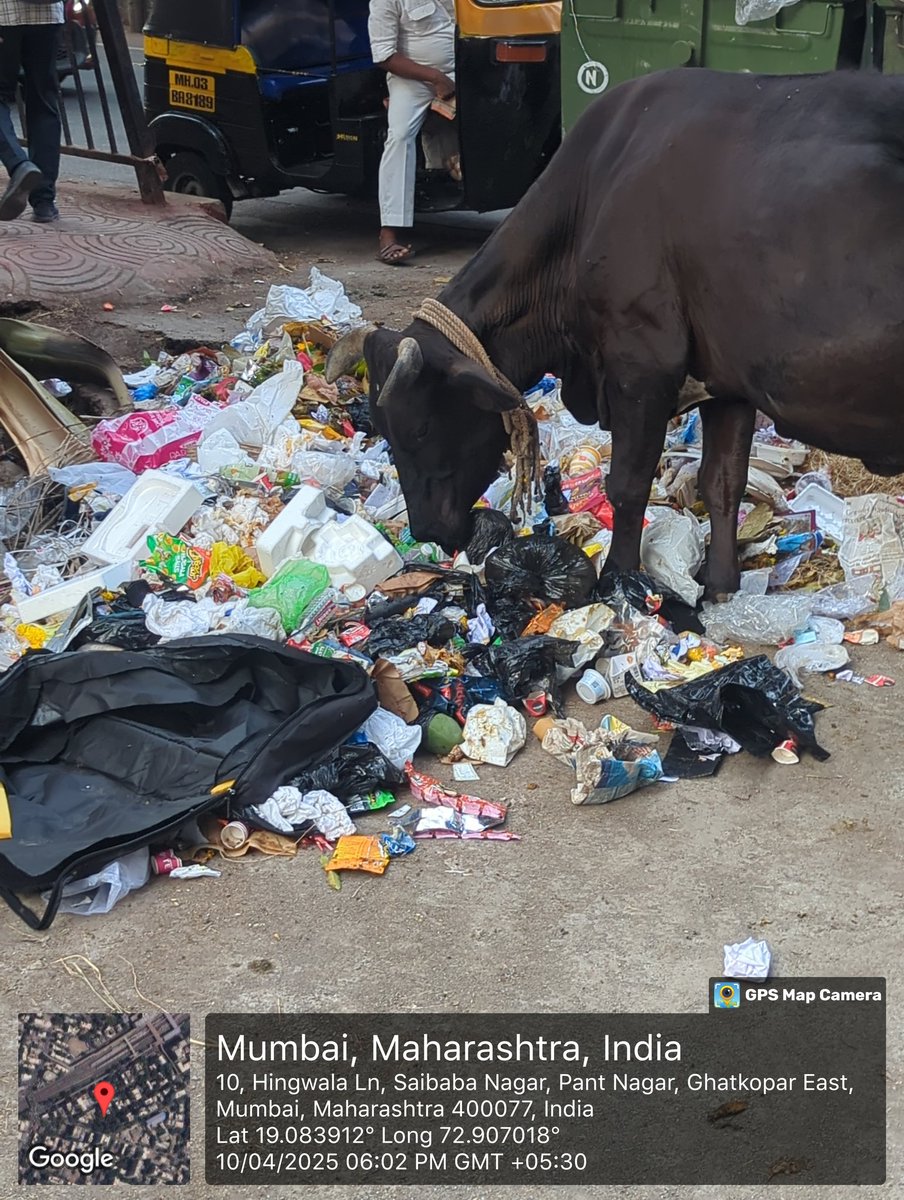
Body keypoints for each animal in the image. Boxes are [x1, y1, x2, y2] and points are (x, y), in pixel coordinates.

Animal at [326, 67, 904, 597]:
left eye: (421, 429)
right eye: (383, 429)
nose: (426, 530)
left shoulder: (641, 364)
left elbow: (627, 484)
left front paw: (618, 578)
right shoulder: (727, 383)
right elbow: (722, 483)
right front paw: (719, 587)